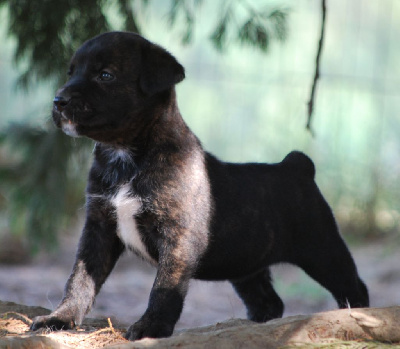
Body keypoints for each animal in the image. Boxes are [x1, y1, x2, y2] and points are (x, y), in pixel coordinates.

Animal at [30, 32, 368, 340]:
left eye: (105, 75)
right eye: (71, 72)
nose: (58, 100)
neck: (125, 155)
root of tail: (296, 166)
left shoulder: (176, 237)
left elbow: (164, 288)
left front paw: (151, 327)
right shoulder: (99, 227)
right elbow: (80, 278)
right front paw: (60, 318)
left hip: (321, 248)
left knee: (353, 285)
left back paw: (357, 317)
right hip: (247, 265)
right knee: (269, 302)